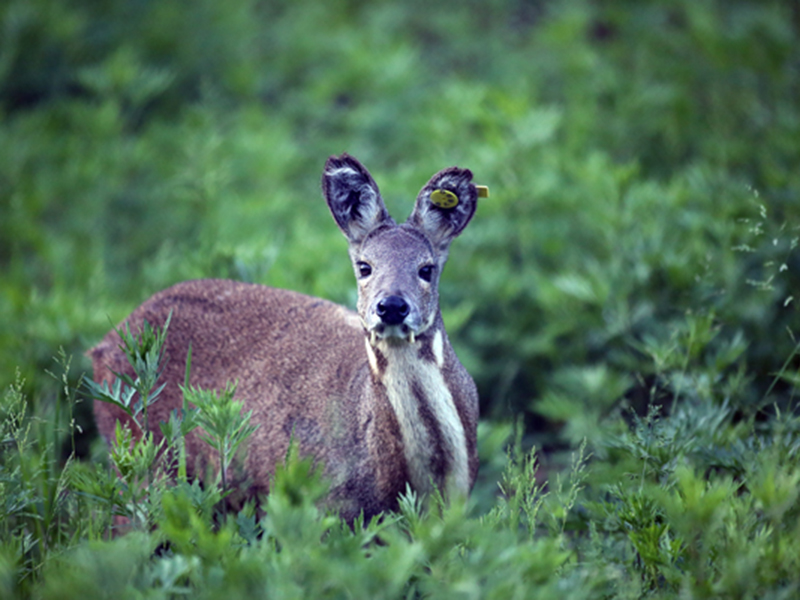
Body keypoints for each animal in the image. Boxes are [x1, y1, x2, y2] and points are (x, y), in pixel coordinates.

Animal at [90, 152, 484, 524]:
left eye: (426, 269)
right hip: (141, 457)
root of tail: (105, 343)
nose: (391, 306)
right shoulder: (330, 505)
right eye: (365, 267)